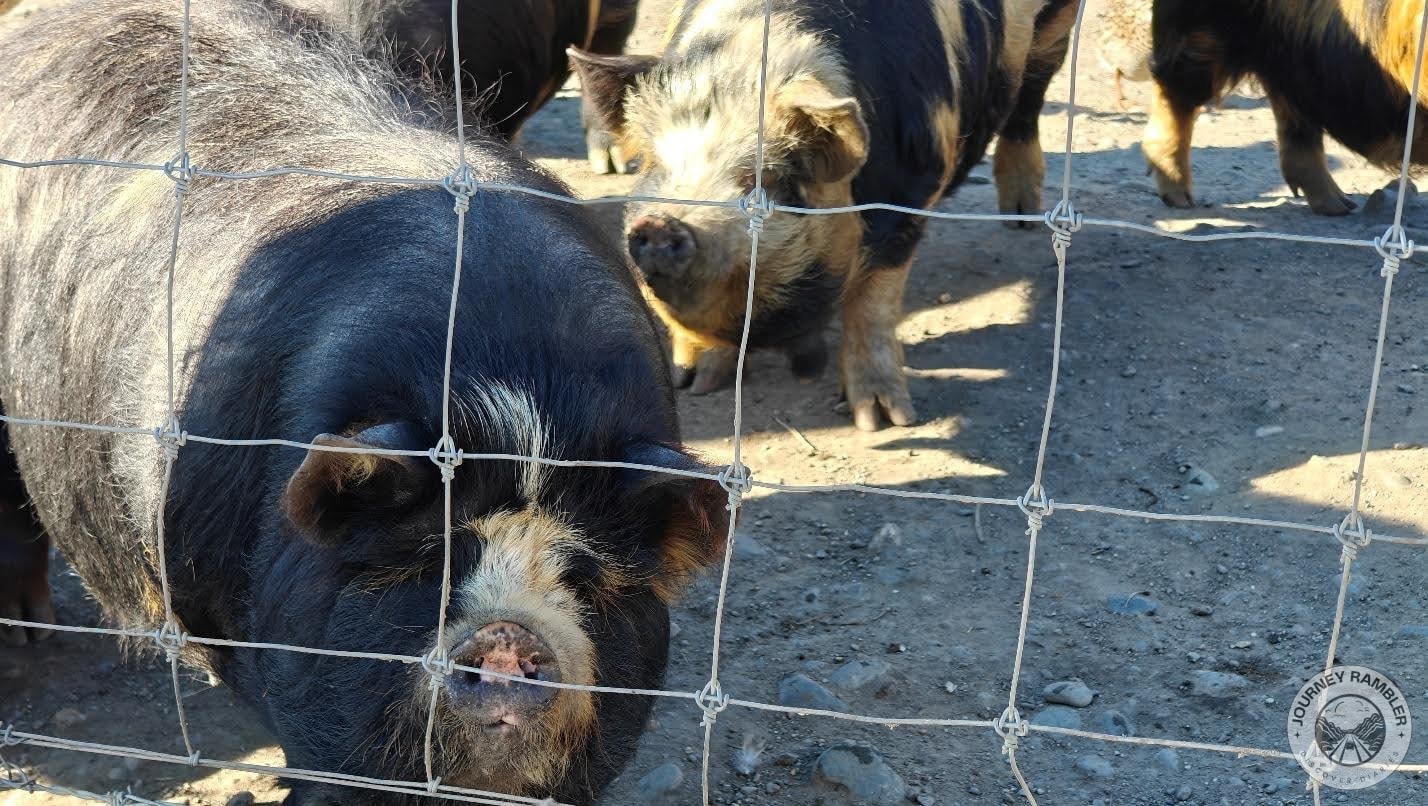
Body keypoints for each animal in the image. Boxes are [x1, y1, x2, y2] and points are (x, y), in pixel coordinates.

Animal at [572, 0, 1079, 430]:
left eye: (767, 178)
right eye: (653, 165)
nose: (661, 225)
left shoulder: (914, 185)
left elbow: (873, 300)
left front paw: (883, 421)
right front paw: (693, 383)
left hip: (1055, 25)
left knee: (1031, 93)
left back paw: (1021, 217)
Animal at [1147, 0, 1428, 215]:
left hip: (1290, 58)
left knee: (1294, 115)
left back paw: (1339, 206)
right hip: (1202, 32)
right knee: (1175, 93)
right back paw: (1181, 200)